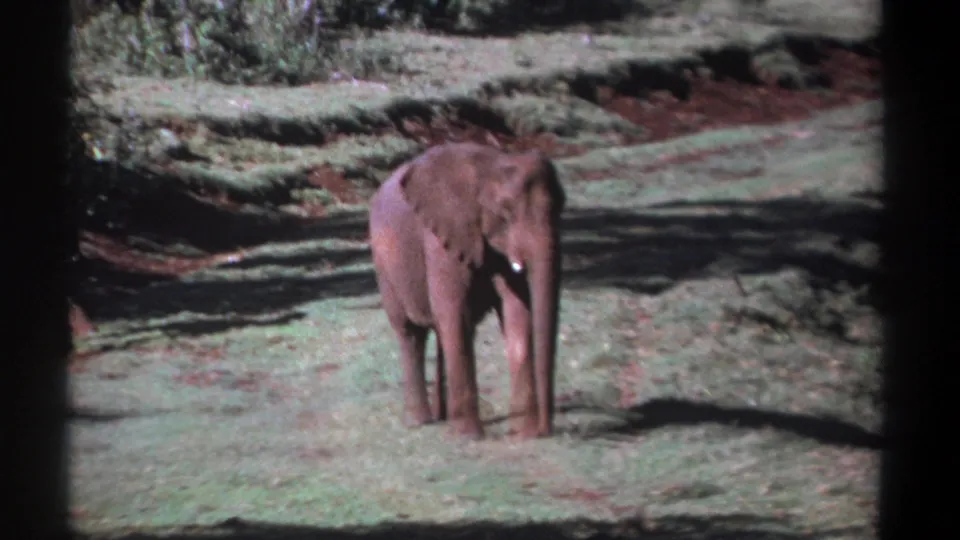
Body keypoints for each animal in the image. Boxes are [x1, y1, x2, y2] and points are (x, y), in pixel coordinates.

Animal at [368, 142, 566, 440]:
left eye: (562, 207)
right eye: (505, 211)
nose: (546, 430)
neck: (492, 165)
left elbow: (517, 310)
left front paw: (524, 432)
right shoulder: (441, 236)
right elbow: (453, 311)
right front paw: (468, 436)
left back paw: (442, 416)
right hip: (385, 267)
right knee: (410, 333)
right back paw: (420, 422)